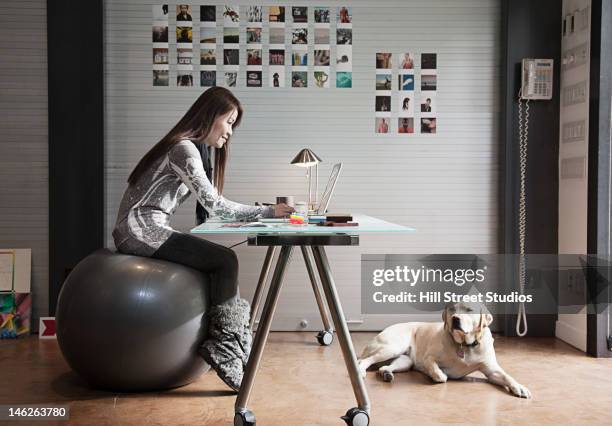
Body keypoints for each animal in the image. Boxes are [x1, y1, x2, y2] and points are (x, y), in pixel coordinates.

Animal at [358, 302, 532, 398]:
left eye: (469, 309)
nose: (455, 319)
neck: (464, 345)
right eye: (452, 309)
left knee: (383, 367)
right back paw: (361, 371)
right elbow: (438, 372)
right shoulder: (428, 358)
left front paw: (519, 387)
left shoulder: (492, 370)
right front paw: (438, 375)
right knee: (365, 360)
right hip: (392, 347)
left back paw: (386, 373)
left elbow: (507, 376)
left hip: (405, 360)